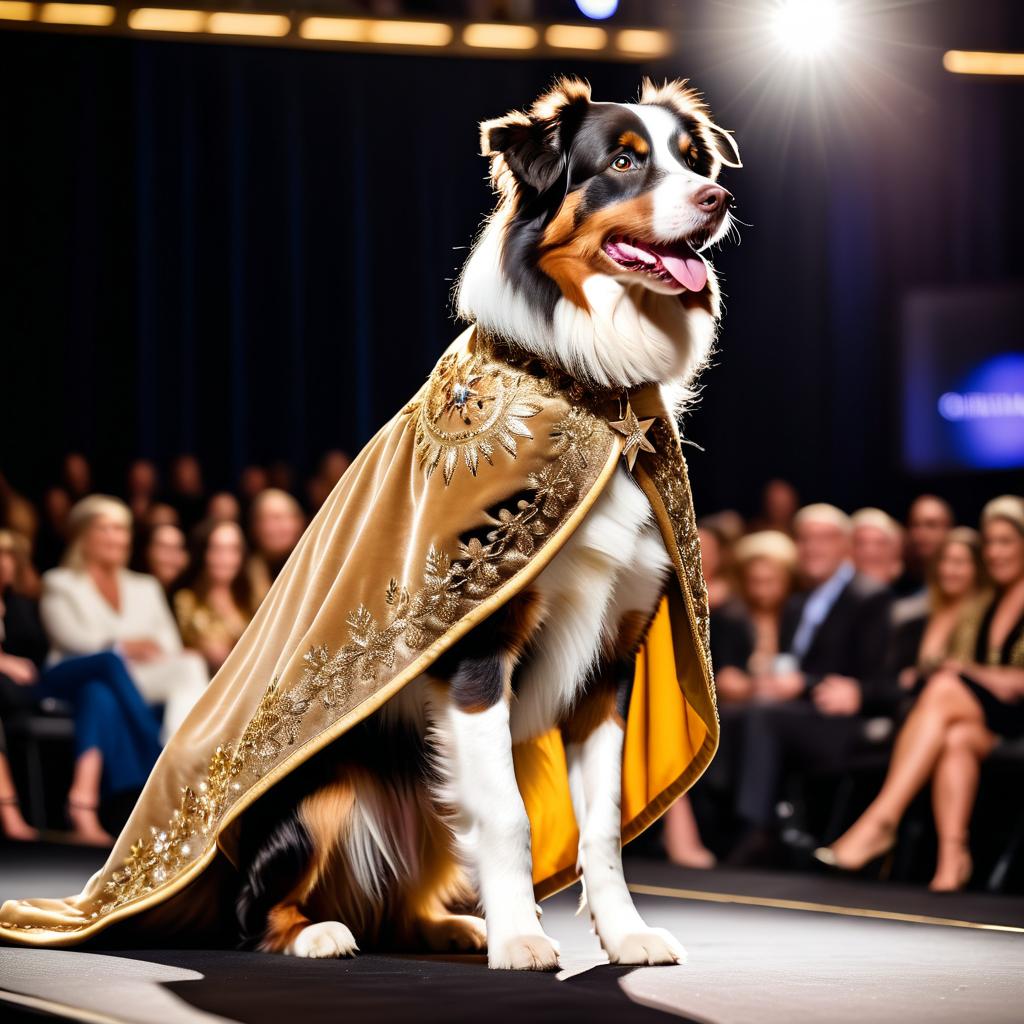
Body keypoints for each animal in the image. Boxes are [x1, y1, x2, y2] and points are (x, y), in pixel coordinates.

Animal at [235, 75, 741, 970]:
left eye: (691, 159)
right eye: (622, 162)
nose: (716, 200)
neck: (593, 396)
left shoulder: (610, 665)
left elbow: (602, 826)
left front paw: (624, 934)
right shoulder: (475, 655)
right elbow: (506, 818)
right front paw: (522, 941)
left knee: (406, 890)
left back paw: (447, 925)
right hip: (327, 785)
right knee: (257, 904)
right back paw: (317, 932)